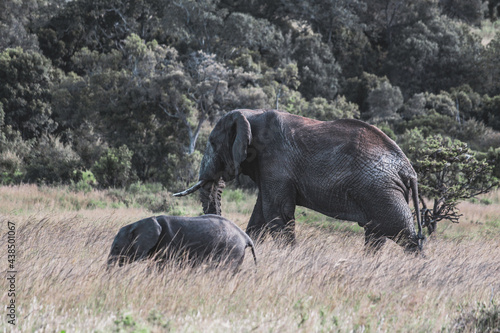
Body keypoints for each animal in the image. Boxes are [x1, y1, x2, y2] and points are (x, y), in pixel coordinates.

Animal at [174, 109, 424, 252]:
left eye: (212, 143)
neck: (251, 115)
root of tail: (408, 170)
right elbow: (261, 213)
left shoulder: (276, 162)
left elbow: (277, 213)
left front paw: (289, 256)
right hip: (381, 192)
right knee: (376, 235)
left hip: (382, 192)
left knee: (404, 233)